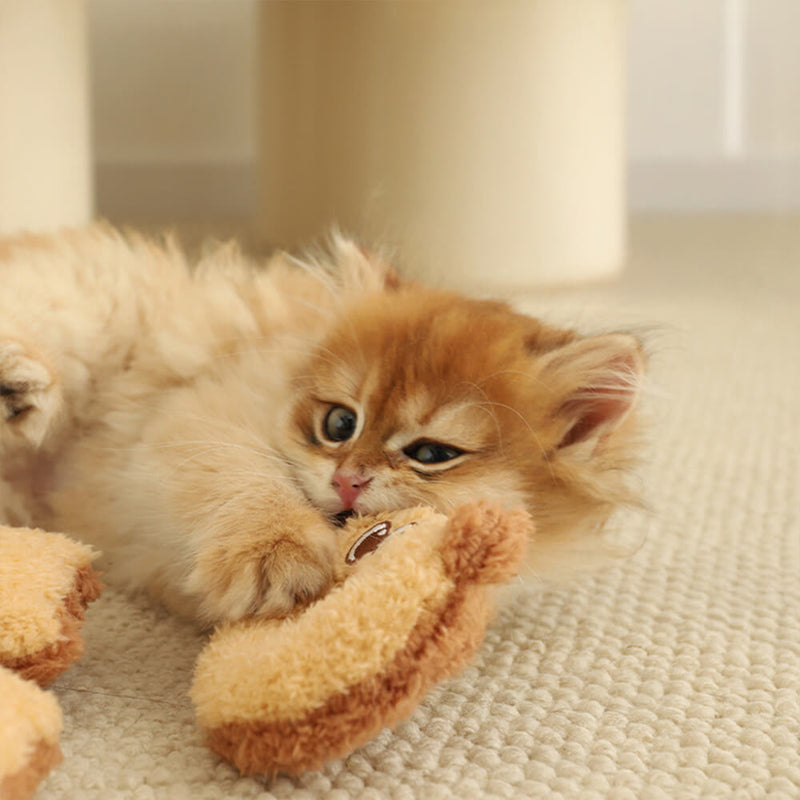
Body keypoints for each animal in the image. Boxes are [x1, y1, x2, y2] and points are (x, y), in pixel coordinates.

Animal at [0, 223, 640, 624]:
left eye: (431, 454)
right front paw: (274, 554)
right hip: (91, 301)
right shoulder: (197, 416)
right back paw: (18, 385)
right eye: (339, 423)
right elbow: (247, 482)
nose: (348, 479)